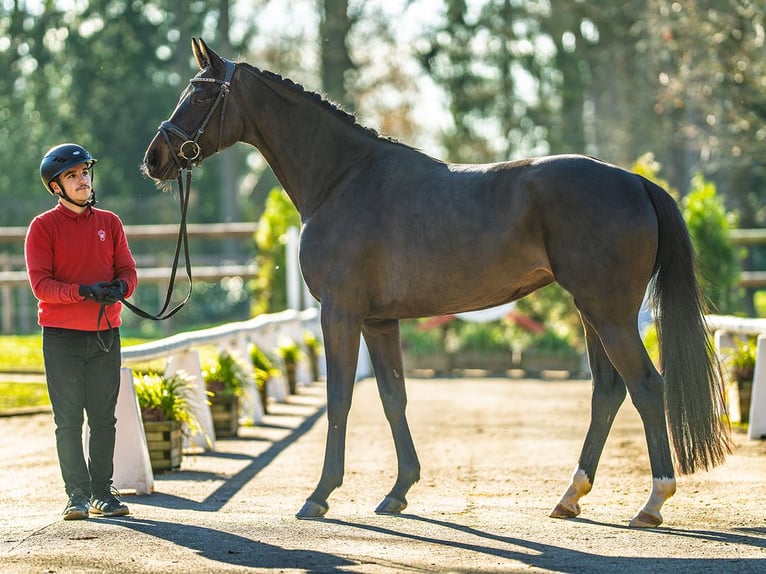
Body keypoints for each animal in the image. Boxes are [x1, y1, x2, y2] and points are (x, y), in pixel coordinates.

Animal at [142, 38, 731, 527]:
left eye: (199, 94)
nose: (154, 159)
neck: (343, 179)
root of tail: (634, 181)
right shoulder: (380, 321)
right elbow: (392, 398)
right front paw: (398, 491)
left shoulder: (340, 313)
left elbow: (340, 399)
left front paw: (320, 495)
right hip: (591, 312)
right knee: (608, 391)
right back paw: (570, 497)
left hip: (609, 313)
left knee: (646, 386)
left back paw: (652, 503)